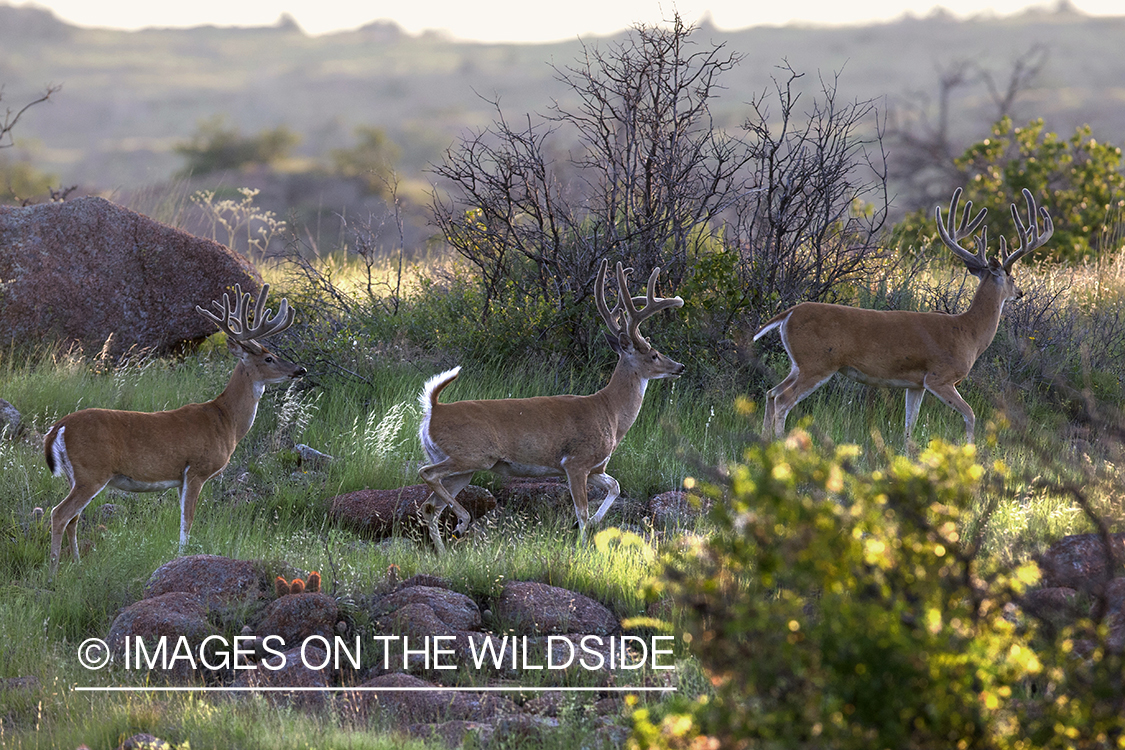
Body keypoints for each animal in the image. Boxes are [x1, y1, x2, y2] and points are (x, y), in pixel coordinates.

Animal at [44, 284, 303, 580]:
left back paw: (76, 564)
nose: (300, 369)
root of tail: (58, 427)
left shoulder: (181, 478)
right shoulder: (197, 469)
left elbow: (183, 518)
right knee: (60, 514)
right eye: (269, 357)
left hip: (75, 476)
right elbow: (186, 521)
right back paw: (52, 572)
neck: (225, 420)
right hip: (92, 472)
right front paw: (182, 557)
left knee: (73, 518)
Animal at [416, 260, 684, 555]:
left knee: (429, 506)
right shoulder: (575, 461)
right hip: (472, 456)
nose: (680, 366)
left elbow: (615, 486)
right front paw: (581, 545)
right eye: (654, 354)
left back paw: (444, 548)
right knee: (426, 474)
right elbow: (582, 510)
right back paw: (462, 522)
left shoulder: (595, 468)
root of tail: (433, 410)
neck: (610, 413)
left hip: (462, 468)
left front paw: (591, 527)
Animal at [756, 187, 1053, 445]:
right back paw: (781, 444)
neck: (968, 331)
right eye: (1011, 277)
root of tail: (789, 313)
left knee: (771, 393)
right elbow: (970, 414)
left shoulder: (916, 384)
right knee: (782, 399)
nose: (1021, 292)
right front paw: (971, 451)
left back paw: (765, 442)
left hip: (800, 363)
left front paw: (909, 455)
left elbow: (910, 425)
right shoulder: (939, 376)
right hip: (817, 362)